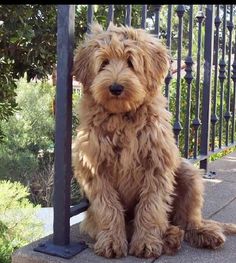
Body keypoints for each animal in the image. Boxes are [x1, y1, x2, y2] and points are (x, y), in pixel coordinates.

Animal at [72, 23, 236, 260]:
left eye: (131, 62)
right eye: (103, 63)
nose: (115, 88)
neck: (122, 117)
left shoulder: (157, 164)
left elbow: (151, 205)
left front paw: (146, 242)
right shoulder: (95, 168)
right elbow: (108, 206)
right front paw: (111, 242)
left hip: (188, 174)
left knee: (187, 220)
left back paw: (199, 233)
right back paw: (170, 237)